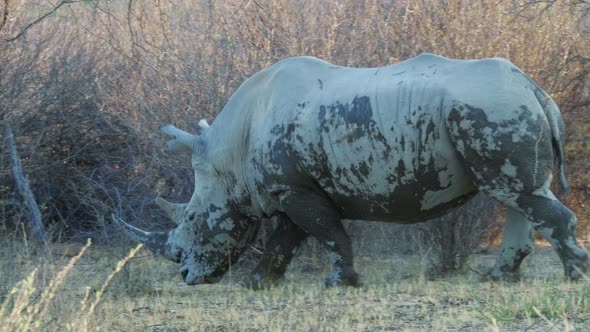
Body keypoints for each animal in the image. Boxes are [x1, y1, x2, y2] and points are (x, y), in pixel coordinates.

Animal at [117, 53, 590, 286]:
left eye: (194, 221)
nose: (187, 277)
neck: (228, 159)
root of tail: (533, 87)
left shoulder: (295, 188)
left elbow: (326, 232)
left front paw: (338, 283)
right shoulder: (289, 188)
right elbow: (285, 240)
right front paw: (259, 282)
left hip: (491, 108)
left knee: (520, 194)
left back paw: (573, 277)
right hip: (496, 108)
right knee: (516, 194)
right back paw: (498, 278)